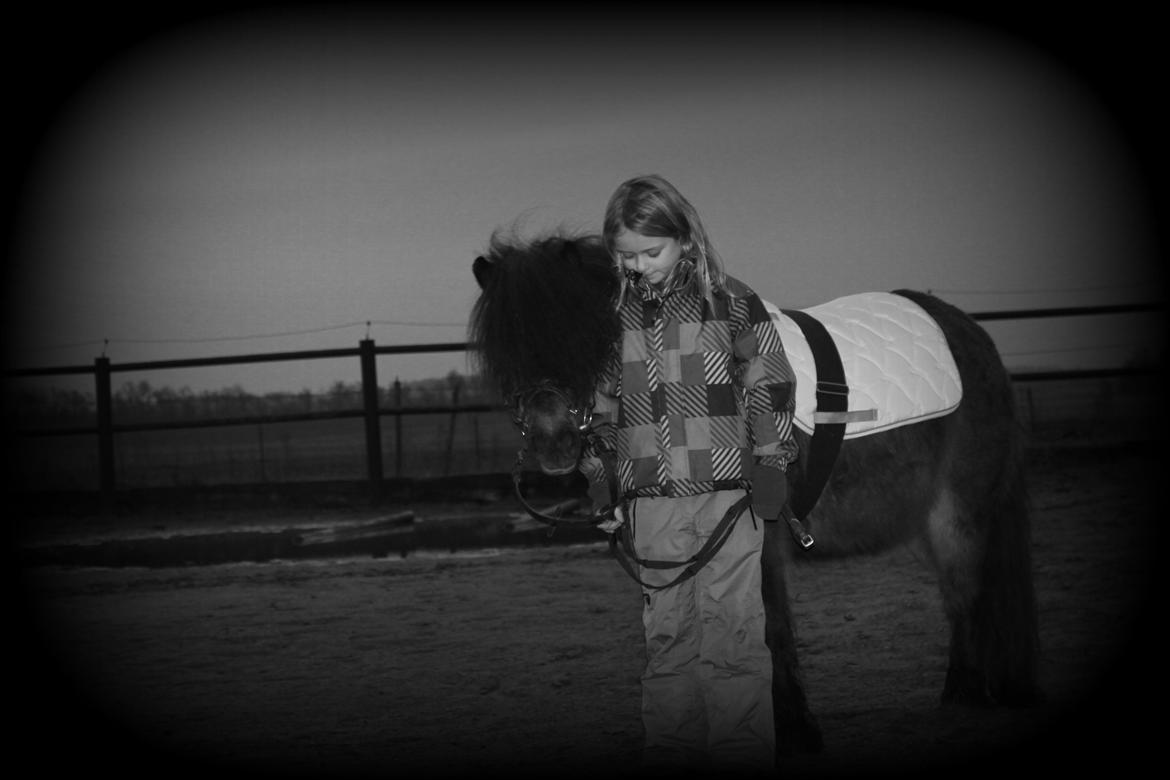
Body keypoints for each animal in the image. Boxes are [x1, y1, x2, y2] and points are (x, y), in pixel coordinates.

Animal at [467, 228, 1040, 756]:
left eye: (583, 337)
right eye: (503, 350)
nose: (554, 442)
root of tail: (971, 336)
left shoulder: (752, 536)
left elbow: (767, 627)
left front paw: (794, 732)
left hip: (958, 514)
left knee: (966, 595)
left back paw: (964, 697)